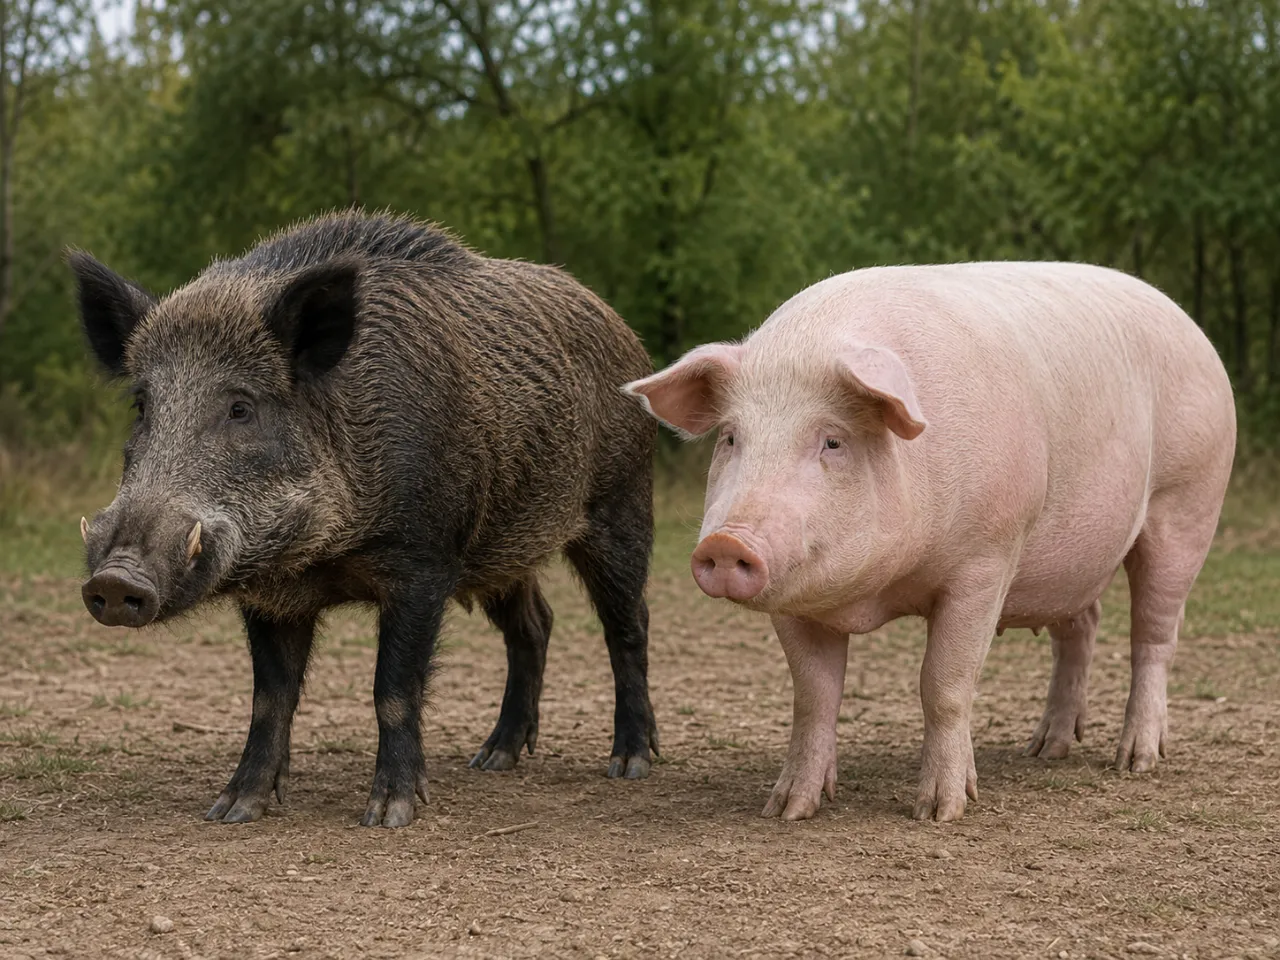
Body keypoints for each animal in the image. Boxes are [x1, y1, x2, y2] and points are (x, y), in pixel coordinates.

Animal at [72, 210, 660, 827]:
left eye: (240, 407)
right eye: (142, 405)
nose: (115, 579)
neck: (324, 556)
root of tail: (624, 331)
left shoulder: (425, 563)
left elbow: (393, 689)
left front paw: (389, 814)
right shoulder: (273, 596)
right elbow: (269, 698)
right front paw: (233, 809)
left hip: (621, 506)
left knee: (627, 624)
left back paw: (629, 763)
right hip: (503, 549)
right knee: (535, 624)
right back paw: (493, 759)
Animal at [625, 262, 1235, 822]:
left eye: (832, 441)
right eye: (731, 438)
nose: (728, 542)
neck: (876, 593)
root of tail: (1190, 325)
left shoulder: (987, 560)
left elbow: (943, 683)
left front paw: (941, 811)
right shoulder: (796, 601)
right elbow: (813, 695)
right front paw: (788, 809)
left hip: (1188, 503)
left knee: (1153, 636)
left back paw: (1136, 761)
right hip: (1069, 559)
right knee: (1080, 629)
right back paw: (1044, 750)